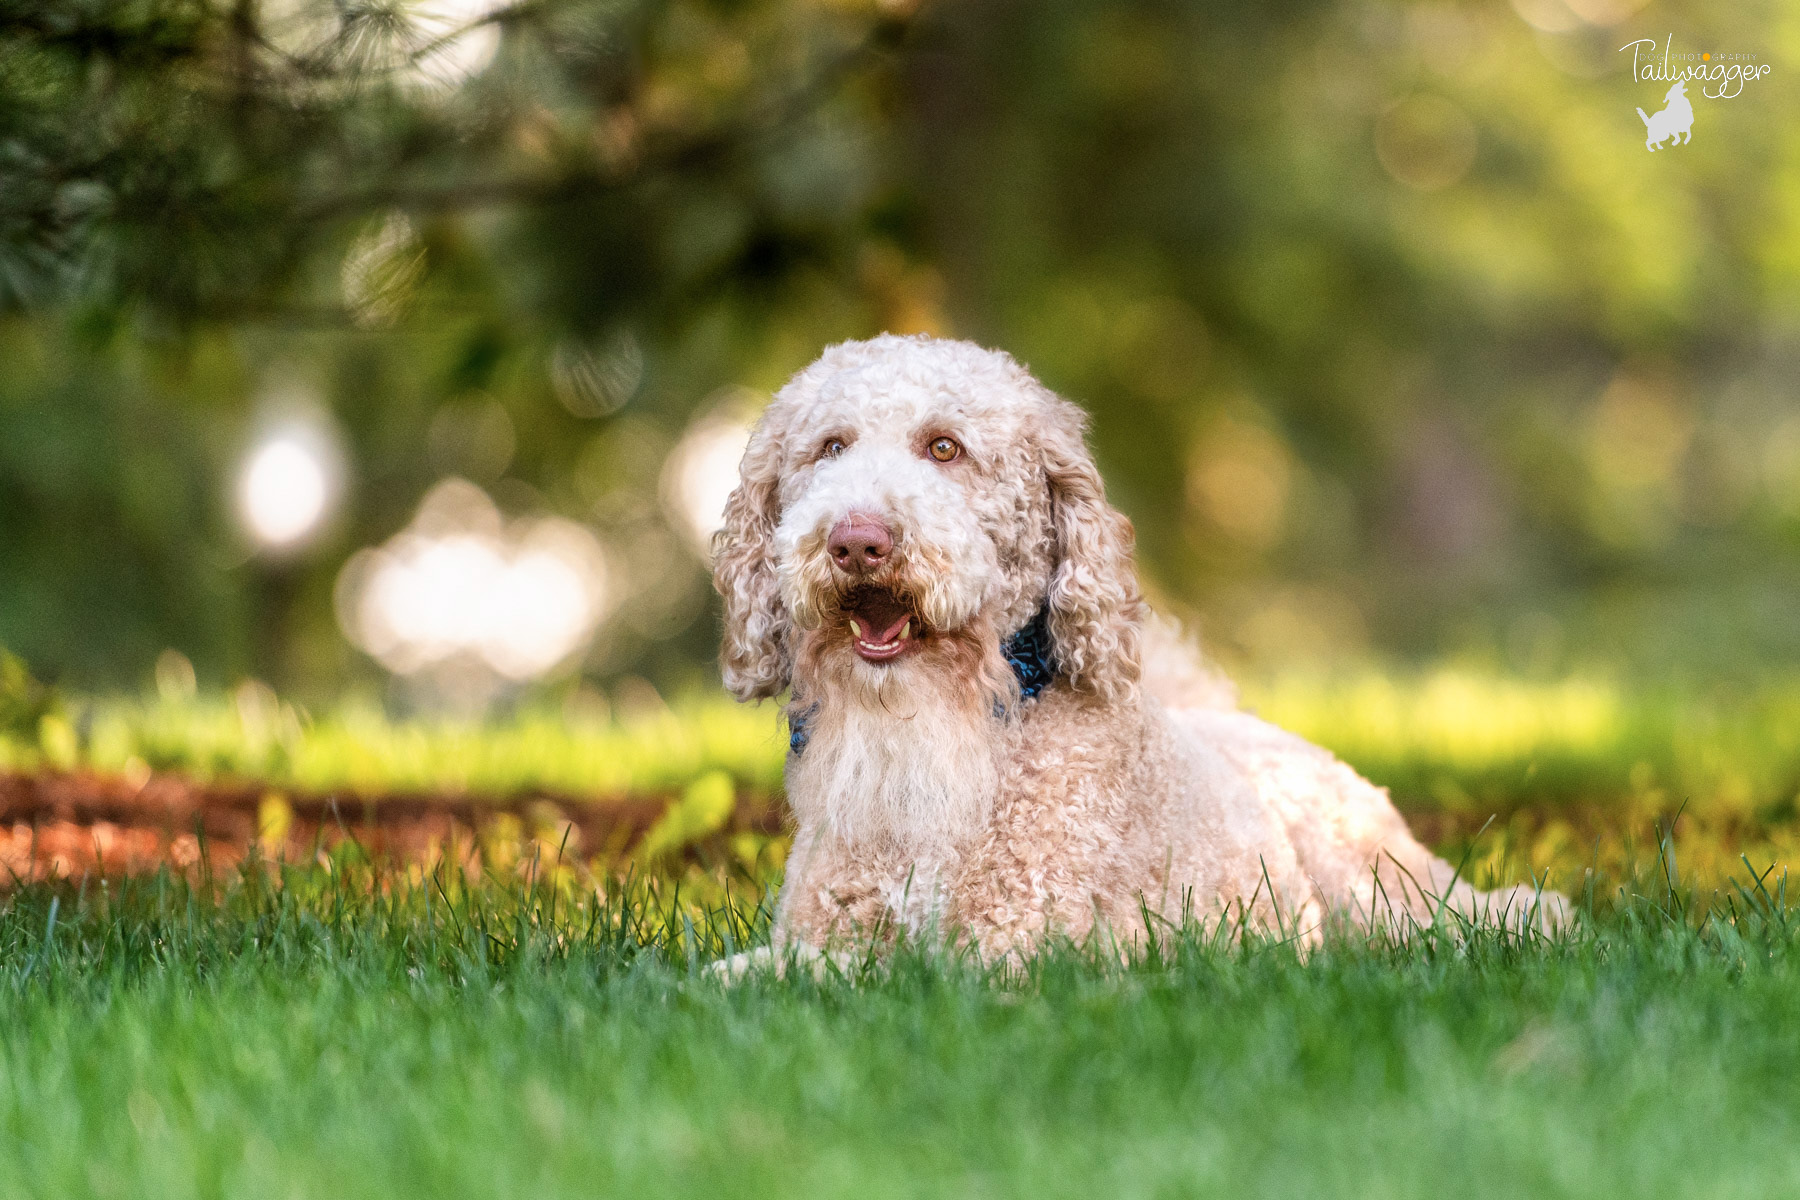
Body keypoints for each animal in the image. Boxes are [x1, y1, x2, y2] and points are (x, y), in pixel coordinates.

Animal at [709, 331, 1569, 957]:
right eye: (830, 448)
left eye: (945, 448)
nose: (857, 542)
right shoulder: (812, 944)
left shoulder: (1012, 954)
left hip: (1380, 892)